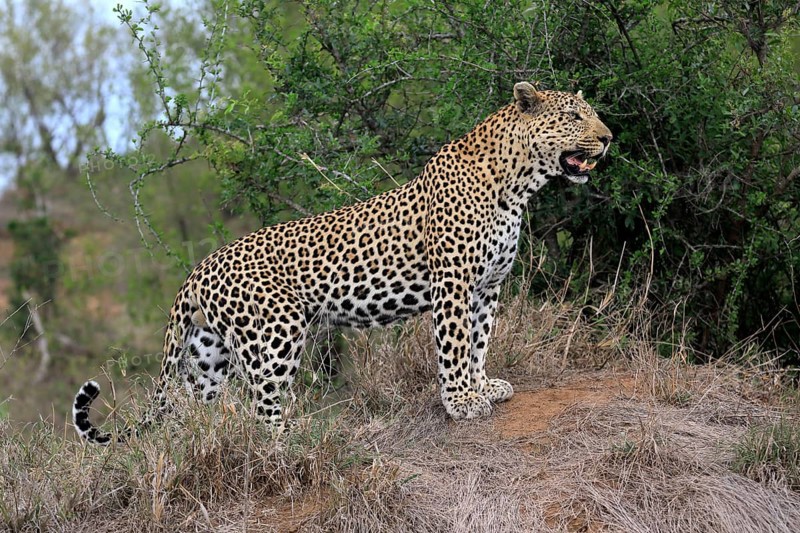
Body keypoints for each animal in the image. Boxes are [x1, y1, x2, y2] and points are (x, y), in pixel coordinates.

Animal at [72, 82, 612, 444]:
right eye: (574, 116)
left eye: (591, 114)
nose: (608, 138)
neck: (518, 185)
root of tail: (199, 267)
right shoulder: (454, 284)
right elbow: (455, 346)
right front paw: (460, 402)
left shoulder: (488, 286)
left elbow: (478, 342)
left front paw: (482, 388)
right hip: (275, 334)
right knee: (262, 407)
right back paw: (292, 442)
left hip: (209, 356)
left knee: (187, 415)